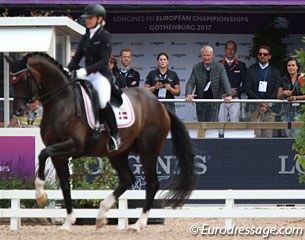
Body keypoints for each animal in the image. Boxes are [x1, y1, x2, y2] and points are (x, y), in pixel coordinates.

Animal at [4, 52, 196, 232]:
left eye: (24, 79)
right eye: (11, 82)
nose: (18, 110)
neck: (62, 102)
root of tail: (160, 106)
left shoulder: (73, 146)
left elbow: (42, 154)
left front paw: (40, 196)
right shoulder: (59, 154)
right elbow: (65, 185)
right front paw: (67, 222)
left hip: (148, 150)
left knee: (152, 184)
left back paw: (137, 224)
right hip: (118, 153)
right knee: (127, 179)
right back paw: (102, 214)